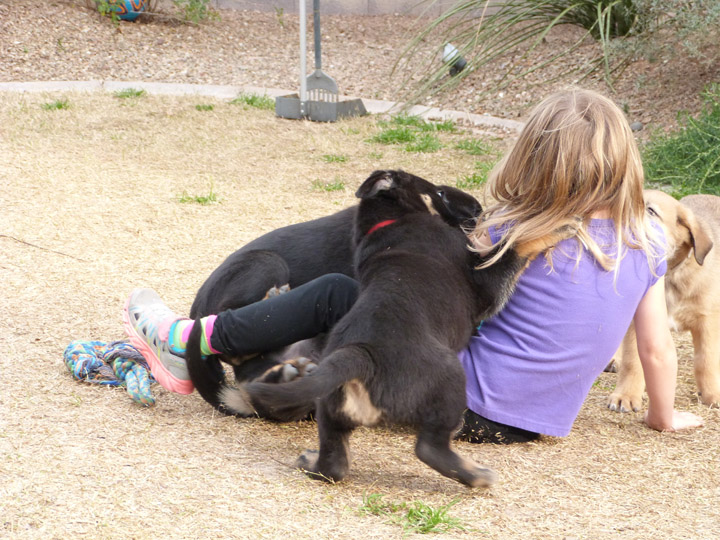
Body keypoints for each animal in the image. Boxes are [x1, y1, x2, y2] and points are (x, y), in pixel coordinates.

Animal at [214, 171, 568, 488]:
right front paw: (561, 224)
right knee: (429, 448)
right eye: (439, 193)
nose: (477, 208)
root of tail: (362, 355)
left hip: (330, 404)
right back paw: (477, 476)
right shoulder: (486, 284)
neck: (391, 222)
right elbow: (518, 245)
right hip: (451, 382)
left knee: (334, 465)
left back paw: (310, 459)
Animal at [608, 189, 720, 410]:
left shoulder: (707, 321)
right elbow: (633, 361)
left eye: (650, 211)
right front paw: (626, 395)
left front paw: (713, 394)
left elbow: (707, 361)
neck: (668, 277)